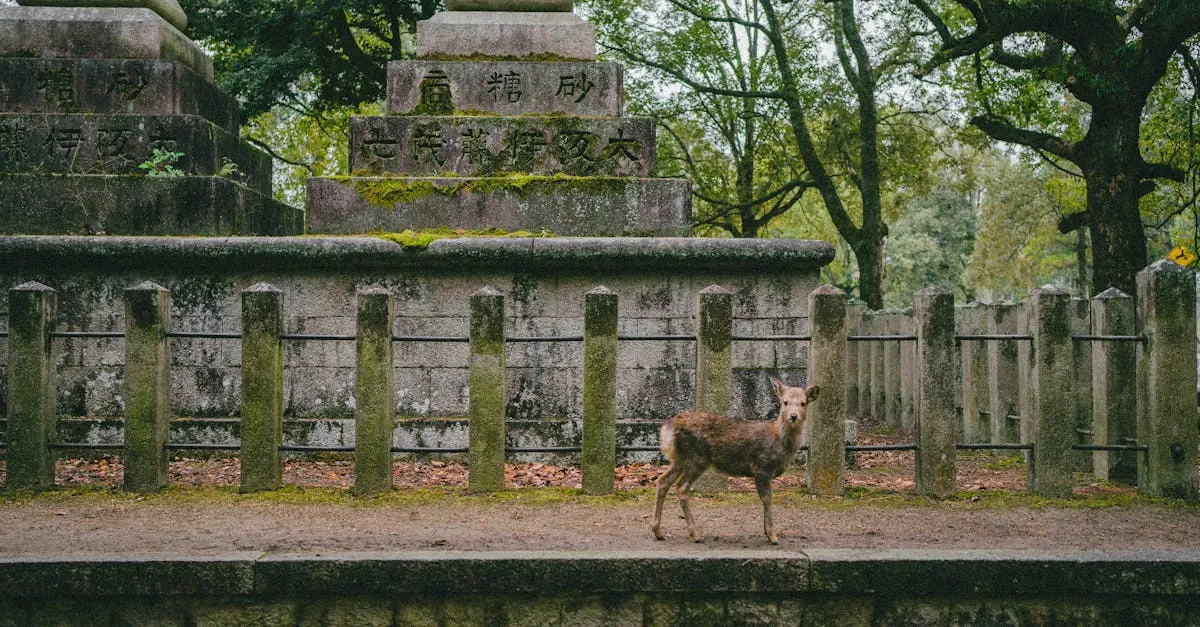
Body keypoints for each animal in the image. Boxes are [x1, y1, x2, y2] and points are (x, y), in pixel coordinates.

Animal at [651, 378, 819, 544]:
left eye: (803, 403)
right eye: (785, 402)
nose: (793, 416)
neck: (779, 443)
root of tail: (667, 429)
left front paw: (767, 532)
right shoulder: (760, 466)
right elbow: (767, 498)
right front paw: (772, 535)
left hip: (680, 459)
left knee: (663, 481)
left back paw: (658, 531)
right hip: (697, 458)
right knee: (681, 487)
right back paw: (695, 534)